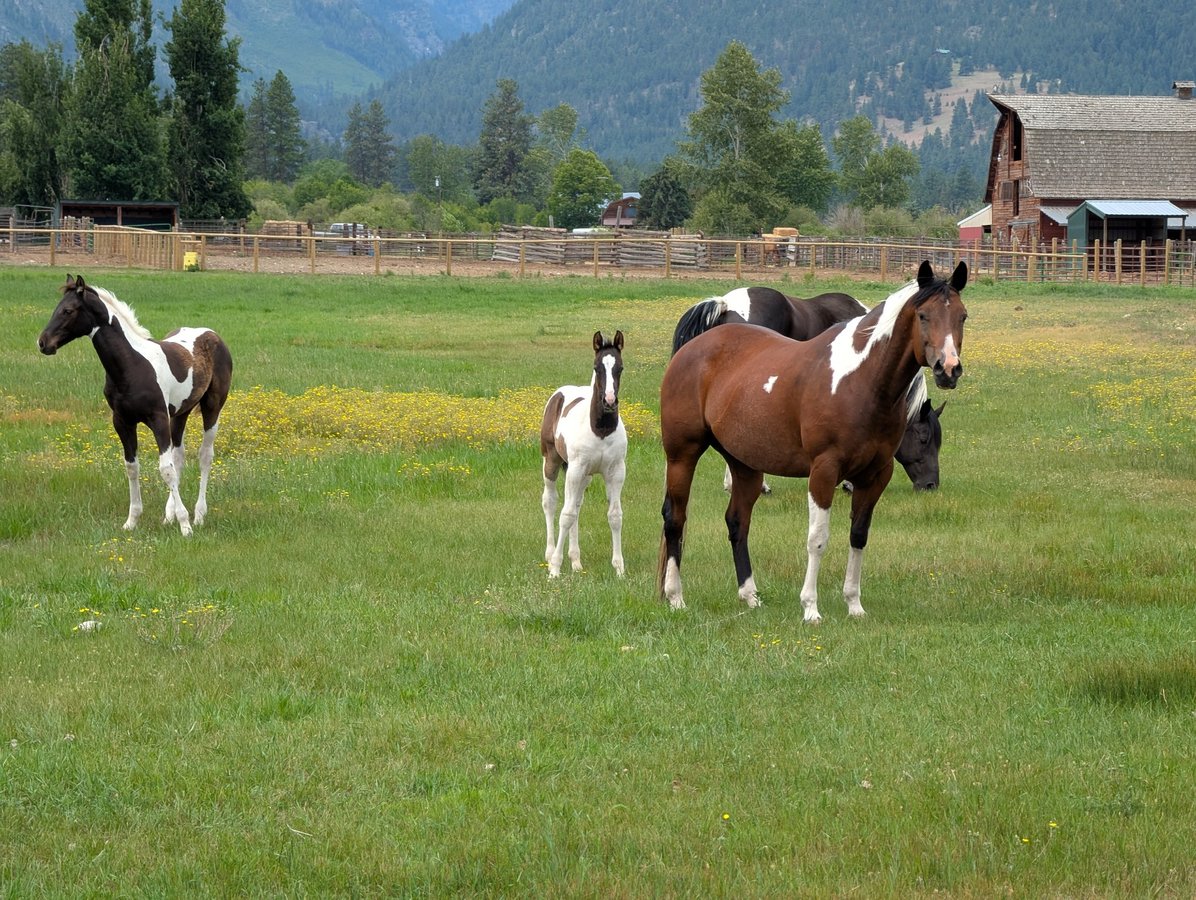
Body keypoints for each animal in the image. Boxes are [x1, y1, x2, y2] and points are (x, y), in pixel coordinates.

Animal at [37, 274, 233, 537]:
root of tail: (212, 334)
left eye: (68, 310)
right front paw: (132, 521)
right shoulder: (122, 421)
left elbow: (165, 469)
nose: (43, 343)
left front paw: (185, 525)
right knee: (179, 456)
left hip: (212, 406)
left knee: (204, 456)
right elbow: (133, 467)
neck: (131, 365)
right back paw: (169, 515)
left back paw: (198, 515)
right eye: (56, 308)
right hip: (180, 413)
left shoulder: (158, 420)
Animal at [540, 331, 627, 578]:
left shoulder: (616, 472)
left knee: (577, 505)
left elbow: (614, 515)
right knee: (551, 501)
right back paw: (550, 554)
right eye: (597, 367)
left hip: (584, 475)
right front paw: (555, 568)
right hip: (552, 461)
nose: (609, 401)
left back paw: (576, 561)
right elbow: (566, 515)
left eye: (620, 367)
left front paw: (619, 568)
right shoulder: (576, 469)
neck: (601, 430)